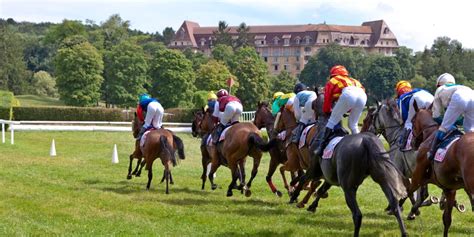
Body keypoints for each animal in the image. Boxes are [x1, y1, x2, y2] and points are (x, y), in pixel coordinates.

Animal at [408, 103, 474, 237]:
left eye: (412, 120)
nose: (412, 143)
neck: (431, 134)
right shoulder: (450, 189)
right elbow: (447, 219)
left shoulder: (418, 175)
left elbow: (409, 191)